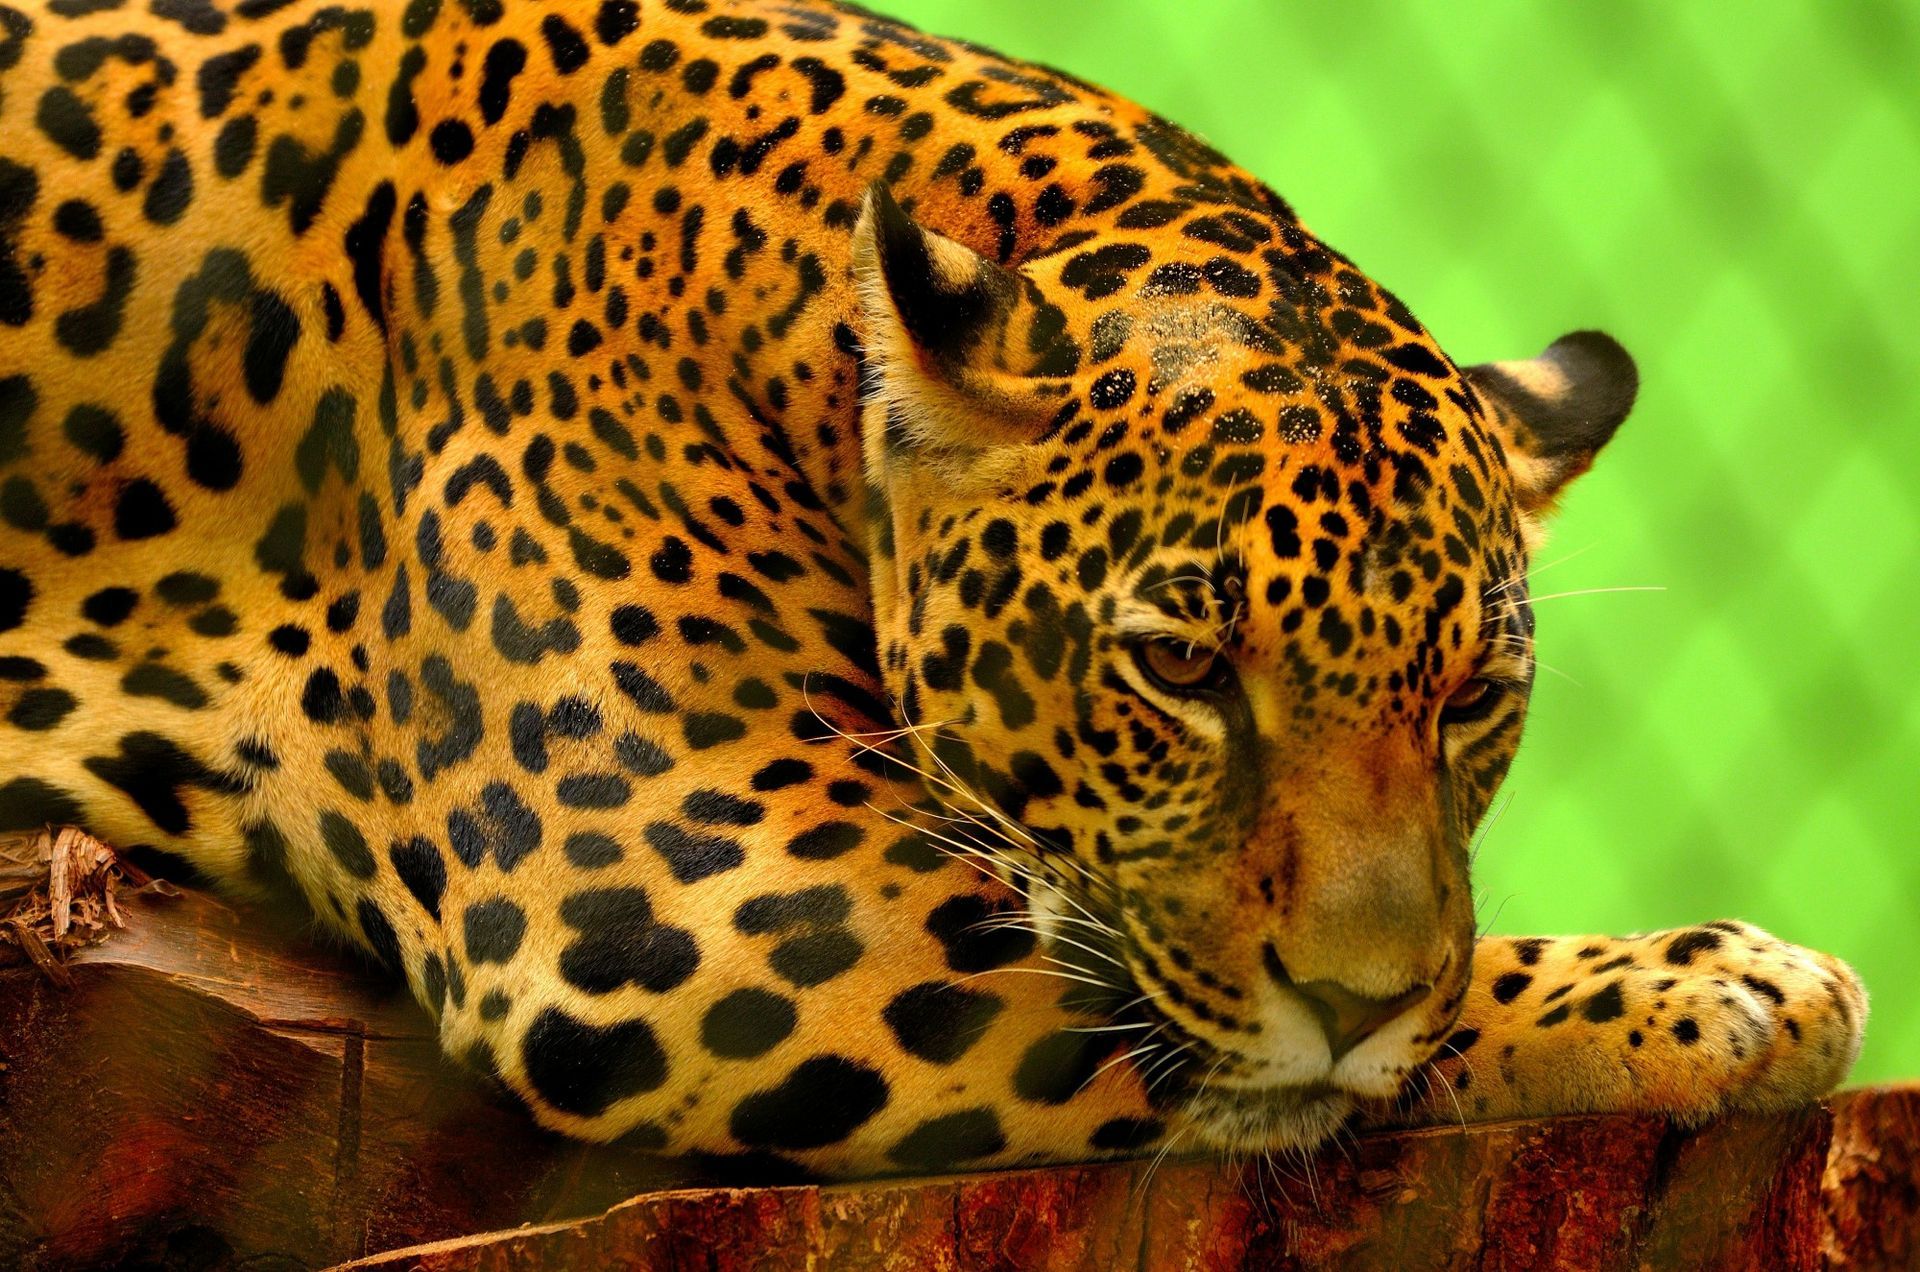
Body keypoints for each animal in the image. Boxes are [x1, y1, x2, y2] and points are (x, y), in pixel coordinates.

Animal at [0, 0, 1865, 1179]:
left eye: (1473, 697)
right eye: (1183, 666)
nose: (1357, 997)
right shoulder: (689, 897)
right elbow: (1242, 1049)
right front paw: (1703, 985)